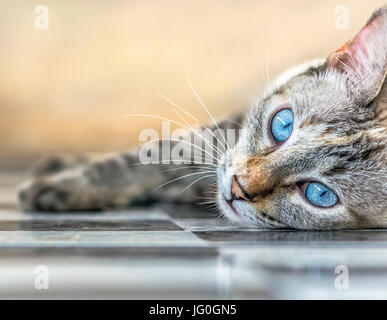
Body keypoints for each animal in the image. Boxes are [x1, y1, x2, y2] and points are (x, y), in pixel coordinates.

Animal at [16, 6, 386, 230]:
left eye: (319, 194)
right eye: (282, 126)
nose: (238, 186)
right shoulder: (216, 136)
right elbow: (140, 159)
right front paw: (64, 185)